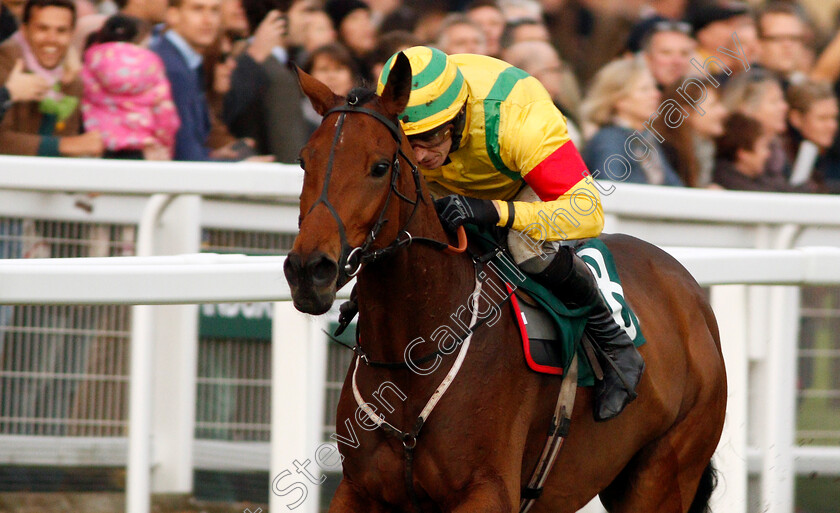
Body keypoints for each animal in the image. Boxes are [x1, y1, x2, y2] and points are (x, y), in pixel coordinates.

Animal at [284, 53, 728, 512]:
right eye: (304, 161)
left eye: (379, 166)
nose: (308, 269)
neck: (414, 355)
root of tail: (690, 292)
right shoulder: (358, 489)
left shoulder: (488, 489)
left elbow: (581, 201)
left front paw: (469, 210)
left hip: (665, 472)